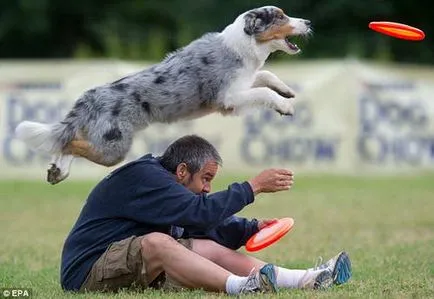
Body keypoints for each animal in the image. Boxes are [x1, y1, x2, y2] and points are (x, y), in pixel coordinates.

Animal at [13, 5, 312, 185]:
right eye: (280, 17)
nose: (308, 21)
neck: (243, 45)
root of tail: (90, 96)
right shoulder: (228, 97)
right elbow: (262, 90)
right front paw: (285, 107)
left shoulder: (243, 83)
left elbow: (265, 76)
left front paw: (286, 90)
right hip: (114, 148)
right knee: (69, 142)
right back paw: (59, 169)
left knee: (66, 138)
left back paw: (57, 171)